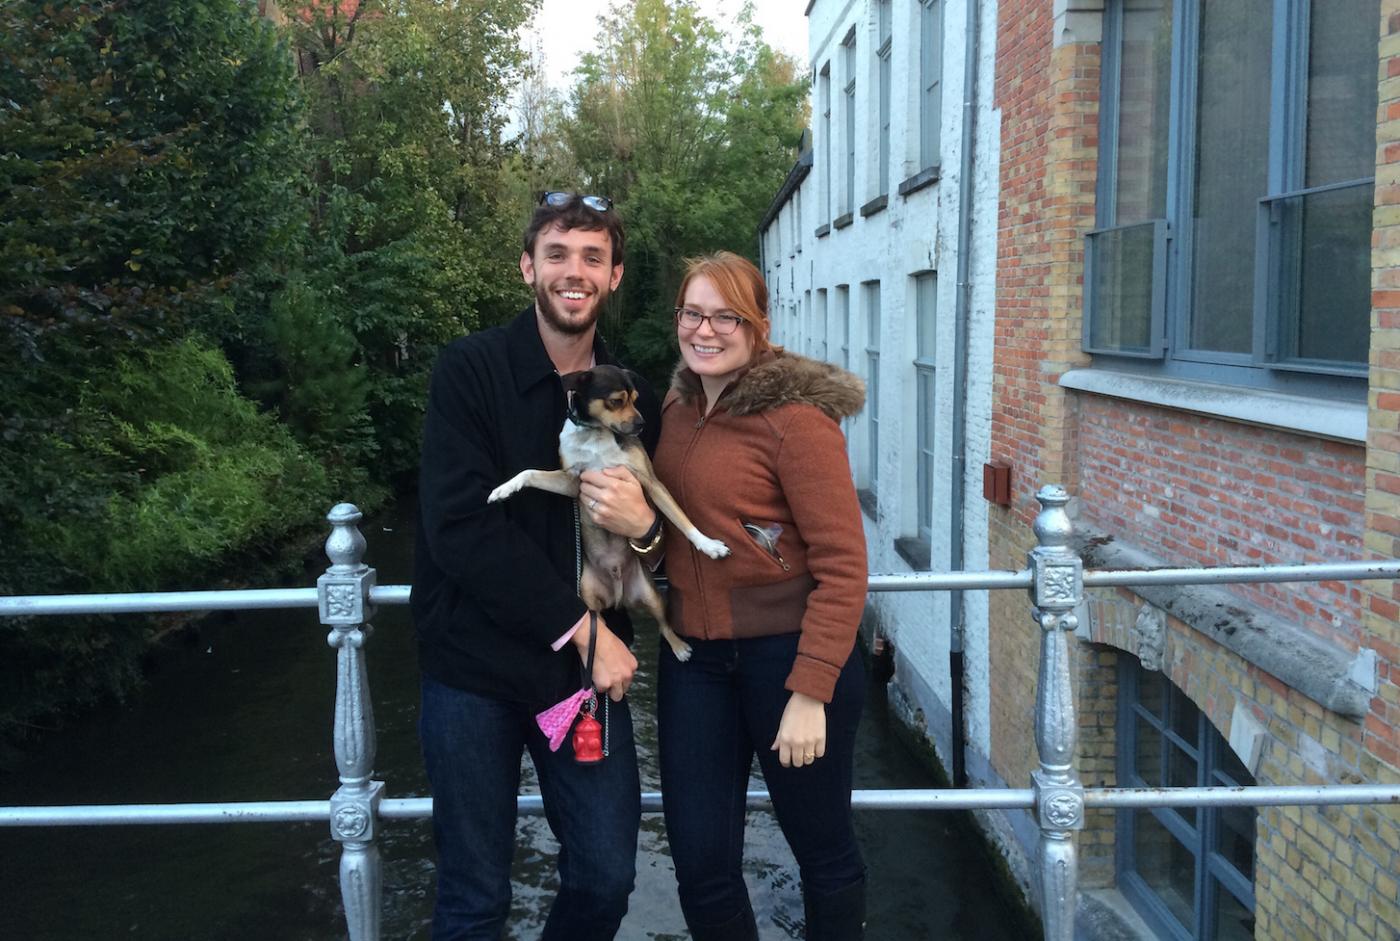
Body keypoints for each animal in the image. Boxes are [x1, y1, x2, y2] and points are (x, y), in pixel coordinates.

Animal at [490, 364, 728, 658]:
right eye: (616, 401)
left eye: (636, 399)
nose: (641, 424)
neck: (595, 434)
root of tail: (619, 595)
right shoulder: (572, 482)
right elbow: (529, 472)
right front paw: (503, 489)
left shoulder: (650, 481)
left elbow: (682, 519)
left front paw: (709, 546)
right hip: (588, 597)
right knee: (598, 629)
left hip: (652, 596)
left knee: (663, 625)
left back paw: (680, 647)